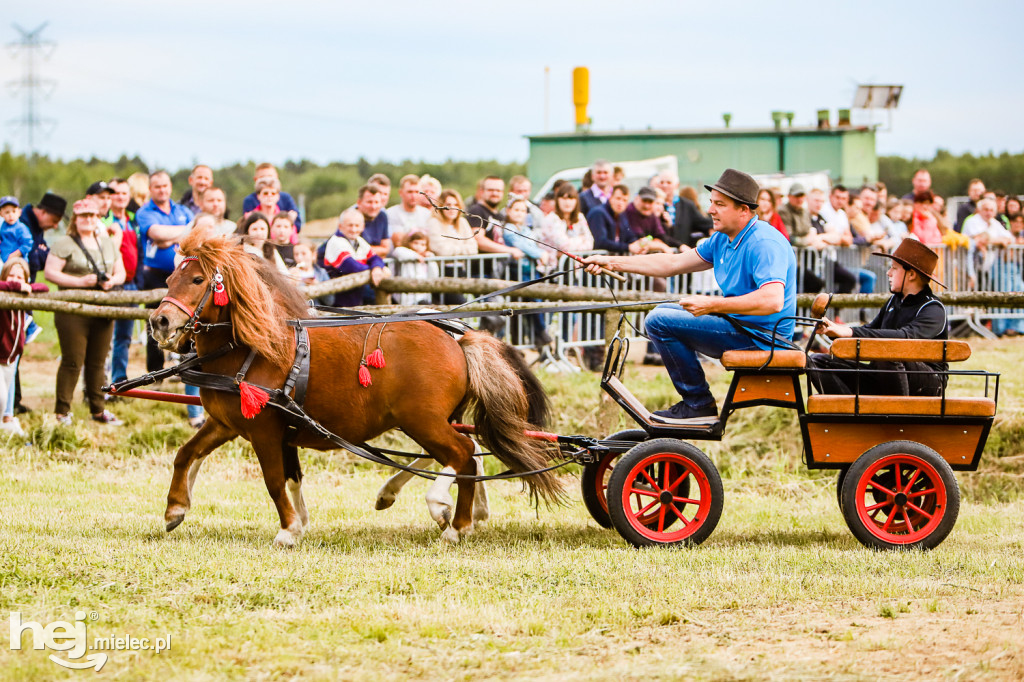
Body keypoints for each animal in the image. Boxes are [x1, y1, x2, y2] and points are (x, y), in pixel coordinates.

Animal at [148, 231, 557, 544]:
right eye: (168, 281)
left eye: (198, 280)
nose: (159, 322)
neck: (253, 347)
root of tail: (457, 341)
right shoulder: (227, 423)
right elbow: (189, 454)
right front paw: (175, 508)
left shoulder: (263, 429)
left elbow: (274, 479)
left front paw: (287, 530)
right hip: (431, 420)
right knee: (457, 454)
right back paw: (424, 503)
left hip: (422, 420)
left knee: (464, 455)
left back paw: (453, 523)